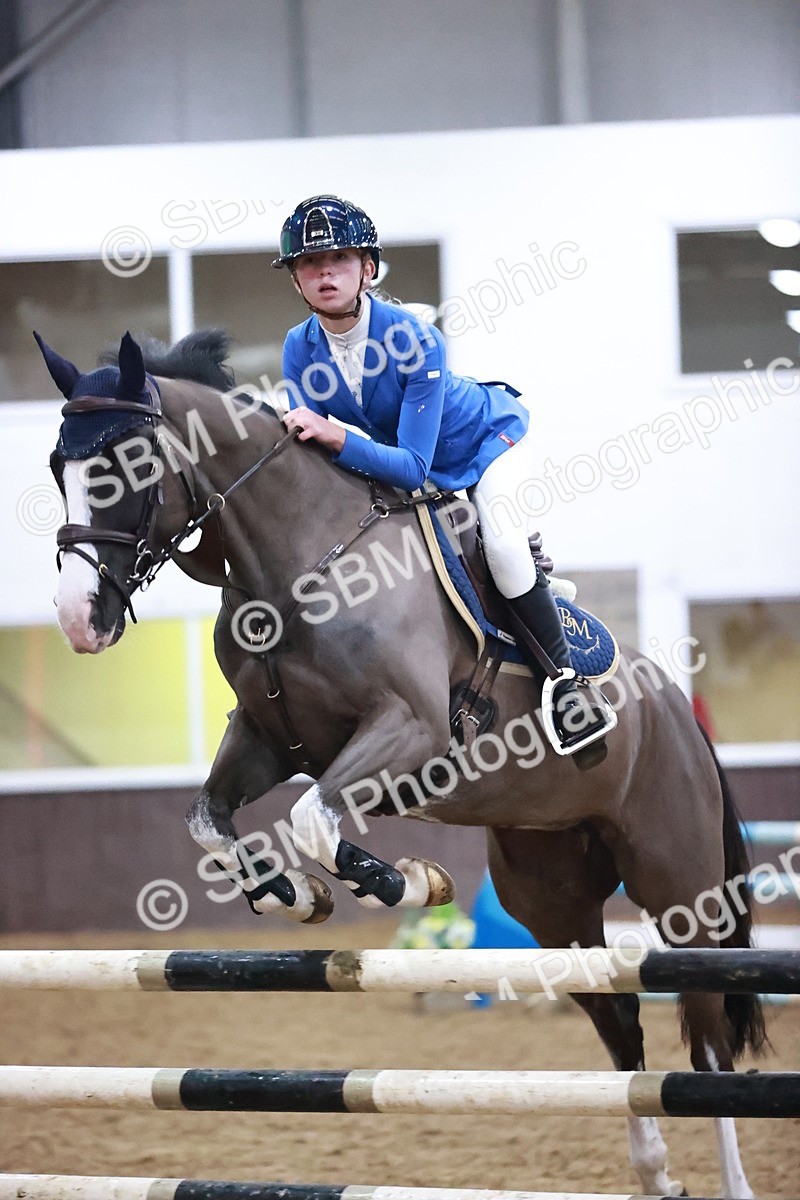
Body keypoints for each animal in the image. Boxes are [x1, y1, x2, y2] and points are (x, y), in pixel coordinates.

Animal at [39, 329, 765, 1199]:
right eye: (58, 466)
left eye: (130, 465)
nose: (77, 619)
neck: (292, 565)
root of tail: (679, 712)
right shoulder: (269, 738)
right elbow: (211, 819)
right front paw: (298, 895)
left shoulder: (409, 730)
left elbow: (312, 817)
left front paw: (405, 882)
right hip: (550, 894)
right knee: (620, 1020)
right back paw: (655, 1173)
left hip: (679, 886)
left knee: (708, 1036)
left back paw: (730, 1179)